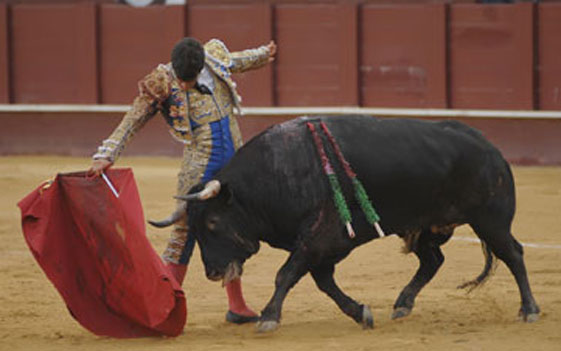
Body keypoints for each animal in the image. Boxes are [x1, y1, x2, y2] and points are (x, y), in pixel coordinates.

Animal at [149, 115, 540, 332]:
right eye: (195, 229)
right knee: (433, 261)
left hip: (491, 221)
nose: (213, 272)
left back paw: (529, 310)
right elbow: (323, 282)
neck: (276, 174)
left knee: (514, 254)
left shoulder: (319, 238)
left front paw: (269, 317)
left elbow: (286, 274)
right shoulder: (323, 246)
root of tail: (490, 148)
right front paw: (361, 313)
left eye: (213, 223)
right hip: (427, 226)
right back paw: (402, 303)